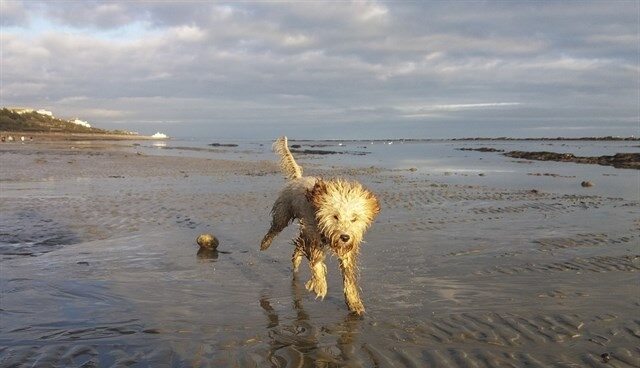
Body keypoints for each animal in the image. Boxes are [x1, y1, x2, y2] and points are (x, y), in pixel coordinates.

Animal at [260, 137, 380, 314]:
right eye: (335, 216)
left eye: (354, 218)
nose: (345, 237)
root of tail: (298, 178)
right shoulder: (313, 237)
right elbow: (316, 263)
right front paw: (320, 286)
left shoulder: (344, 249)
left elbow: (348, 276)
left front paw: (354, 303)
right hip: (284, 212)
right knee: (275, 228)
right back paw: (265, 243)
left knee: (297, 245)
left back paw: (296, 261)